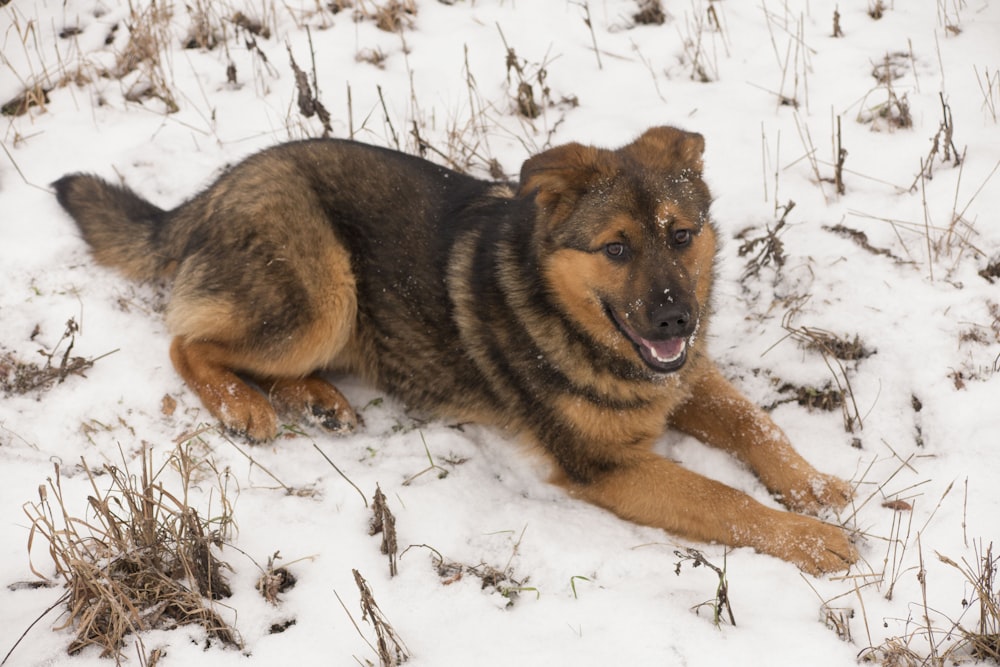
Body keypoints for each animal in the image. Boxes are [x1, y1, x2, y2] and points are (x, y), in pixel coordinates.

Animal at [54, 126, 856, 576]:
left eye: (682, 235)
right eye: (617, 249)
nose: (677, 319)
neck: (570, 314)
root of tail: (211, 192)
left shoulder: (687, 380)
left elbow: (756, 424)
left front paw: (817, 487)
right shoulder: (606, 466)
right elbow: (724, 499)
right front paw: (811, 538)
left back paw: (319, 399)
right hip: (323, 293)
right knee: (186, 343)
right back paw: (243, 406)